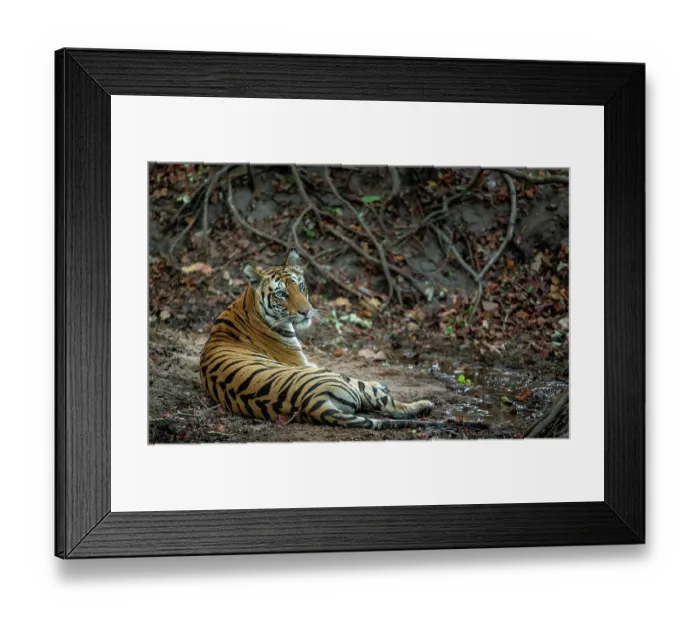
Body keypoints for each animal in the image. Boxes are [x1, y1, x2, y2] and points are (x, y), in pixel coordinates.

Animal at [199, 249, 443, 430]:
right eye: (281, 294)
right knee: (390, 405)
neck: (248, 305)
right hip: (341, 379)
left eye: (300, 286)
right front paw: (381, 384)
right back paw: (423, 404)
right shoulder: (304, 362)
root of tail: (311, 405)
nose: (307, 311)